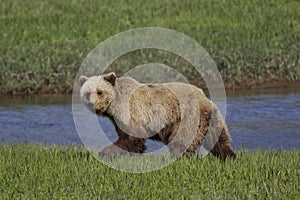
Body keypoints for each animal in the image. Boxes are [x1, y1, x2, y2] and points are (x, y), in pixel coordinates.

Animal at [78, 72, 236, 160]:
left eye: (99, 92)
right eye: (87, 93)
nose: (92, 104)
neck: (114, 103)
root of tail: (205, 98)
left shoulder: (128, 111)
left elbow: (131, 138)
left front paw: (105, 153)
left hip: (188, 116)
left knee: (181, 140)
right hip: (211, 119)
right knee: (218, 139)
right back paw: (229, 156)